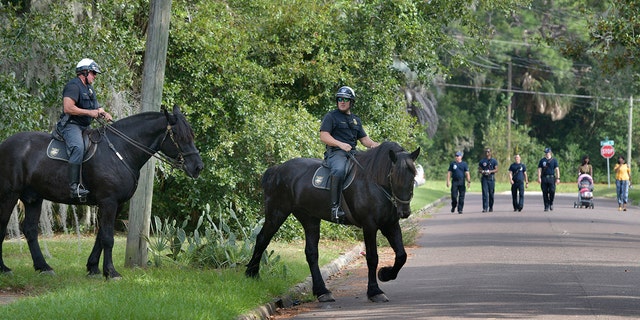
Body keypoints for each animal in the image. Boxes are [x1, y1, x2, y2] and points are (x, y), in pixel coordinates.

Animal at [0, 104, 202, 278]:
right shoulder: (109, 201)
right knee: (3, 226)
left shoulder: (116, 204)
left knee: (30, 229)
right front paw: (111, 272)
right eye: (177, 134)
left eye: (192, 134)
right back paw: (4, 268)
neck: (121, 150)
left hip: (33, 198)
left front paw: (93, 268)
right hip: (9, 195)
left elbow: (101, 236)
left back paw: (43, 267)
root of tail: (4, 144)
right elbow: (107, 238)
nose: (198, 167)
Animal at [245, 142, 420, 302]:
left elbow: (401, 255)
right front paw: (375, 291)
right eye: (394, 176)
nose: (404, 212)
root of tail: (276, 170)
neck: (374, 182)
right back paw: (252, 274)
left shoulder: (390, 225)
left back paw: (322, 291)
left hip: (309, 219)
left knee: (311, 253)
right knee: (262, 239)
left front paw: (385, 274)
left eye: (413, 176)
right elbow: (372, 258)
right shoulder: (369, 226)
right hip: (277, 213)